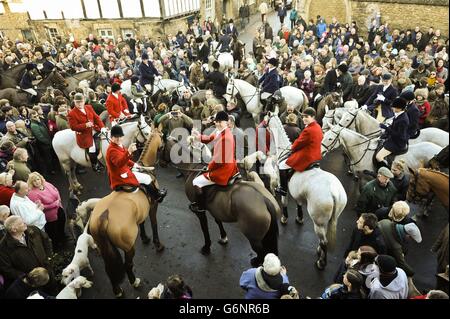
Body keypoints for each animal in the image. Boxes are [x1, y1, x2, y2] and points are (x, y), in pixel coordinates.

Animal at [163, 140, 280, 268]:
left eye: (161, 147)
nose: (161, 163)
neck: (192, 168)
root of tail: (264, 200)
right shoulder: (215, 208)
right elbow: (218, 221)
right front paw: (223, 238)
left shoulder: (200, 211)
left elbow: (204, 228)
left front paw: (206, 247)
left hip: (254, 238)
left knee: (262, 253)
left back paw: (255, 262)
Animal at [268, 115, 348, 270]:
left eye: (266, 120)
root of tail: (334, 192)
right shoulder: (298, 193)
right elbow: (299, 204)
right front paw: (299, 218)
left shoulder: (282, 184)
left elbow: (284, 201)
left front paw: (284, 218)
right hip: (332, 217)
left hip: (318, 220)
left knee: (324, 241)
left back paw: (321, 262)